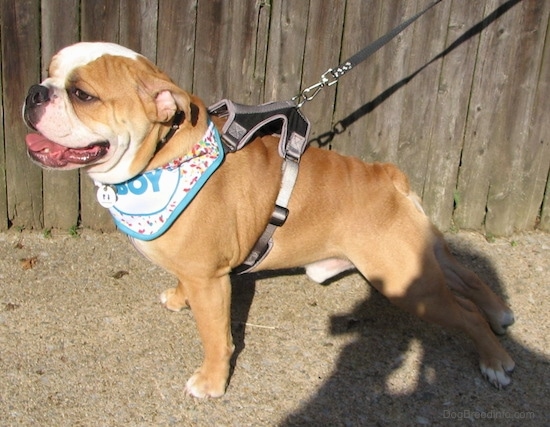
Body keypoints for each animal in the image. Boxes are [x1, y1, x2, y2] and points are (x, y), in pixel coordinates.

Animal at [21, 43, 516, 398]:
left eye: (83, 95)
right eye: (49, 71)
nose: (35, 91)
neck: (163, 157)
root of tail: (386, 175)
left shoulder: (211, 282)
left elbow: (216, 338)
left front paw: (211, 383)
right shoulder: (194, 271)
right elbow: (183, 283)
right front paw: (178, 299)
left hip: (404, 283)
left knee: (465, 312)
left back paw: (494, 360)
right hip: (419, 260)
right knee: (467, 276)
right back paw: (500, 314)